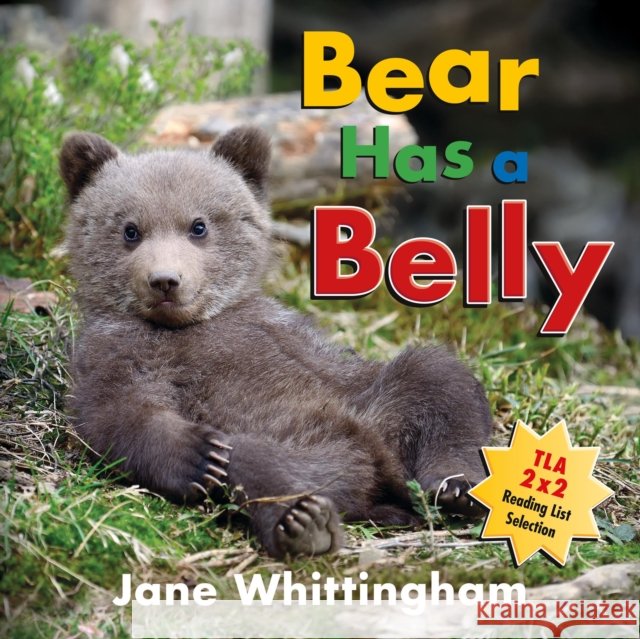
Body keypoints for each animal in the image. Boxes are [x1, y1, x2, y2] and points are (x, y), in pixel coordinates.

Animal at [60, 127, 492, 558]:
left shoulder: (282, 332)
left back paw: (457, 488)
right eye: (130, 230)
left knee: (436, 381)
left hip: (378, 409)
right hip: (291, 443)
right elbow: (118, 413)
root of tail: (381, 472)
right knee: (255, 461)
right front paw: (197, 455)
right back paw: (304, 522)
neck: (184, 326)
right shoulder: (118, 351)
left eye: (198, 226)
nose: (165, 280)